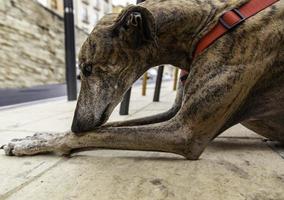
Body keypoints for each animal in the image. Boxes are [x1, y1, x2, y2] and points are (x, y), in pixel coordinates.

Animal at [1, 0, 282, 159]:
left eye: (89, 69)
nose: (76, 124)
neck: (208, 25)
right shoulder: (172, 113)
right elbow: (106, 128)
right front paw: (35, 137)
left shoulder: (184, 131)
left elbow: (95, 135)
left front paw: (38, 142)